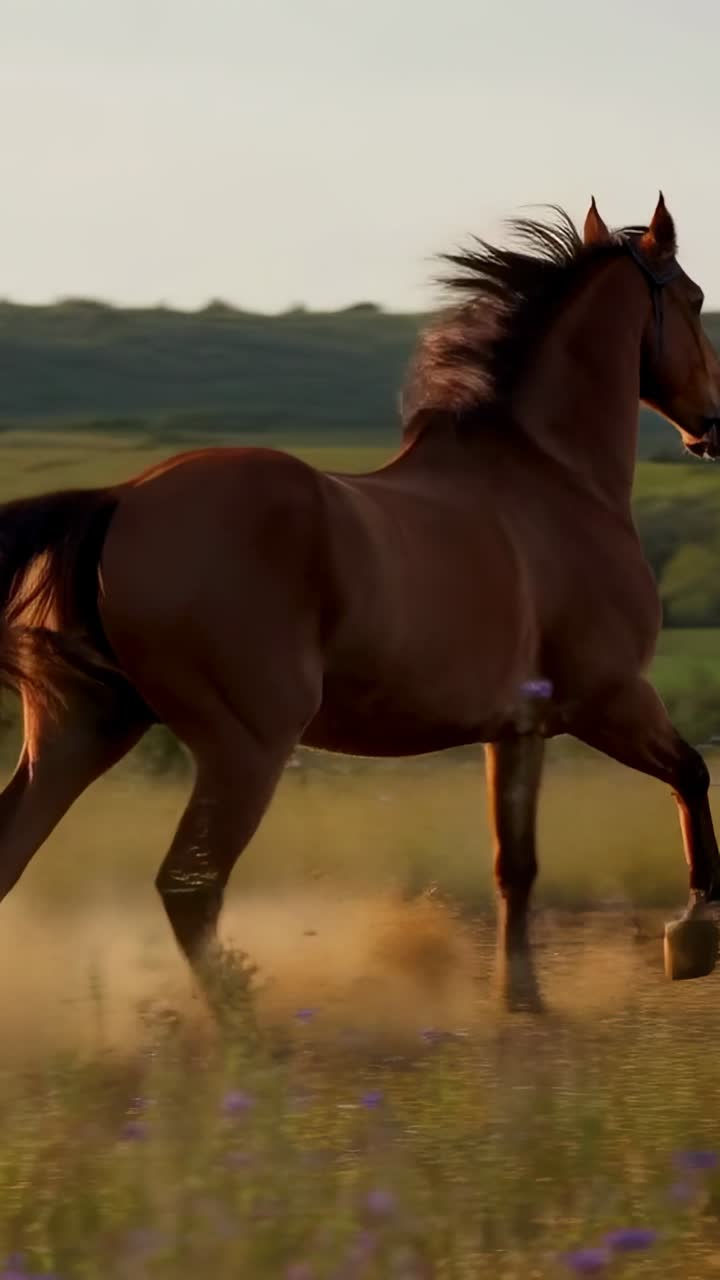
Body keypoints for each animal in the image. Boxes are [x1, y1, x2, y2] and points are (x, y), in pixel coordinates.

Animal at [0, 192, 718, 1012]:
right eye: (695, 299)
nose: (713, 424)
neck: (552, 480)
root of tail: (122, 499)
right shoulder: (610, 698)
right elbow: (691, 775)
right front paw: (693, 936)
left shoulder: (516, 730)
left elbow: (516, 866)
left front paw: (522, 1003)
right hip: (243, 747)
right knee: (189, 886)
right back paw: (253, 1025)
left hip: (79, 732)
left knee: (15, 856)